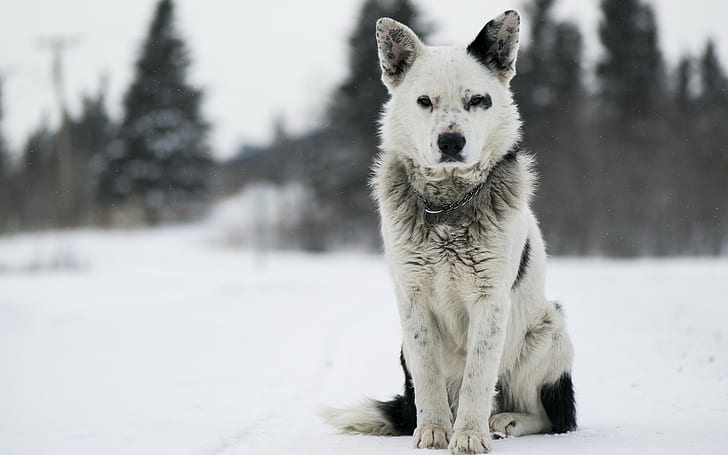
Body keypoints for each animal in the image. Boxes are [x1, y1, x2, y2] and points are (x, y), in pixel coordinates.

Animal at [322, 10, 576, 455]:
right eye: (425, 101)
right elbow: (428, 375)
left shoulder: (490, 301)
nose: (451, 141)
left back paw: (505, 420)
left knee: (551, 416)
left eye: (478, 100)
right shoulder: (412, 300)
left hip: (549, 328)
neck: (449, 204)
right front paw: (434, 431)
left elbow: (479, 376)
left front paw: (469, 435)